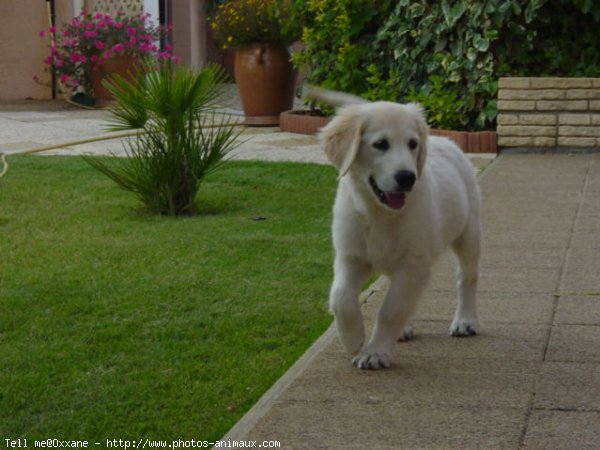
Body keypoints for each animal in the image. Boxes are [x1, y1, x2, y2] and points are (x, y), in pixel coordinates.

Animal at [312, 87, 480, 370]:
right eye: (381, 144)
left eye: (412, 144)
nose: (407, 178)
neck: (379, 213)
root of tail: (444, 140)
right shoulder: (351, 256)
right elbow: (341, 298)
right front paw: (353, 339)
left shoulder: (413, 263)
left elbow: (392, 309)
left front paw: (375, 352)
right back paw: (405, 329)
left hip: (468, 233)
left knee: (466, 277)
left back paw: (466, 320)